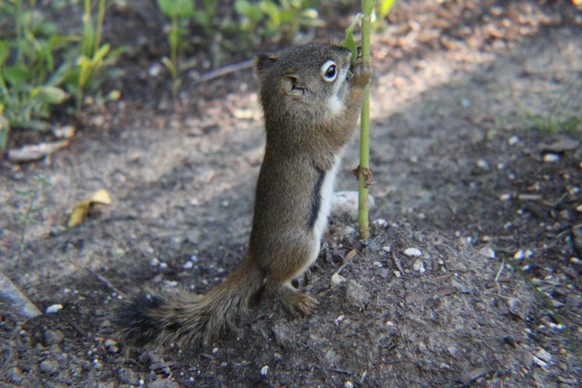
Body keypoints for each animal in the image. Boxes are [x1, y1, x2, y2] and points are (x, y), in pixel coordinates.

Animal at [116, 42, 372, 346]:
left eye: (309, 45)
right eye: (330, 71)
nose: (349, 51)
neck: (288, 113)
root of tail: (256, 259)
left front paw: (364, 173)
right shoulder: (320, 131)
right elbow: (346, 124)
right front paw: (362, 77)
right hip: (301, 246)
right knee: (272, 284)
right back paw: (295, 299)